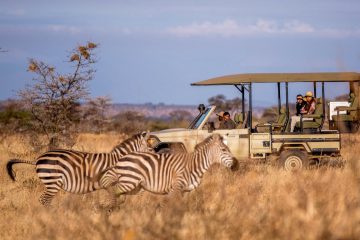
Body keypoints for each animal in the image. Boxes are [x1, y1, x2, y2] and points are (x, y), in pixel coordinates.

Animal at [7, 130, 150, 205]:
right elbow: (116, 198)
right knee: (44, 200)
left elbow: (121, 199)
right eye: (150, 147)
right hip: (53, 182)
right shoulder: (110, 182)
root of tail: (38, 159)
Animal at [95, 134, 239, 203]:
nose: (236, 165)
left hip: (133, 186)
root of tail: (121, 158)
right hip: (129, 182)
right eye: (224, 150)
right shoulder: (176, 188)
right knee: (114, 191)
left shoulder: (186, 191)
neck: (194, 165)